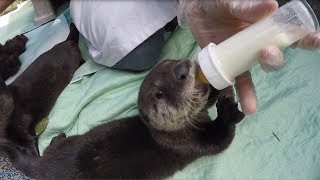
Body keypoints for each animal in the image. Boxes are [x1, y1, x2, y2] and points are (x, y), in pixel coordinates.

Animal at [0, 59, 245, 179]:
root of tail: (45, 167)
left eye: (171, 62)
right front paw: (228, 111)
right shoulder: (189, 144)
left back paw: (57, 138)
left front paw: (214, 83)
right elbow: (221, 138)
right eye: (160, 94)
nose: (182, 69)